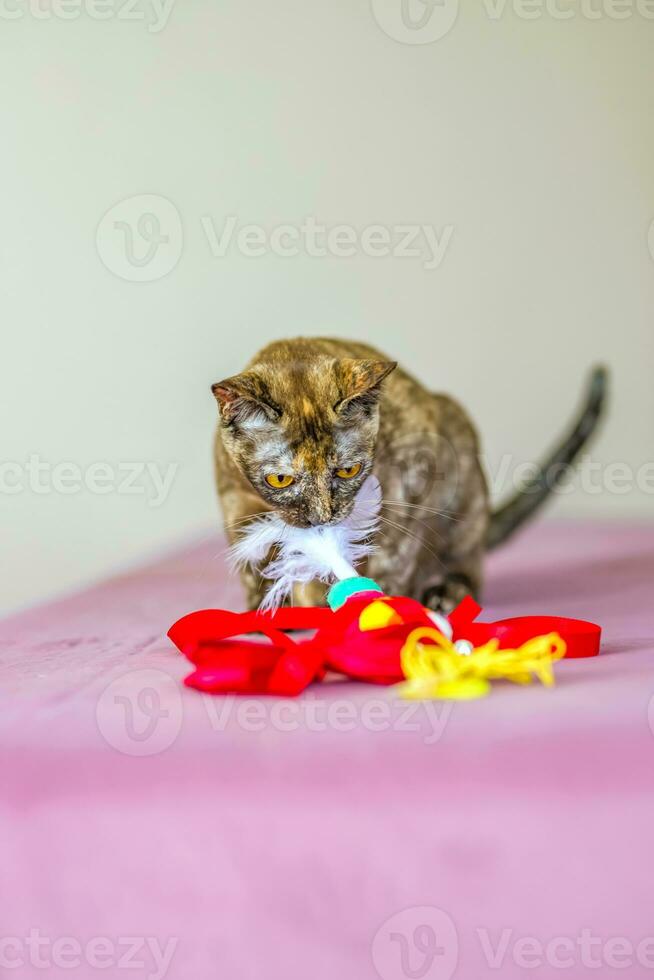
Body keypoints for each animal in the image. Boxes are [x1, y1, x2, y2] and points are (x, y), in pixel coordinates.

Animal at [213, 340, 608, 608]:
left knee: (469, 565)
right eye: (280, 479)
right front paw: (273, 610)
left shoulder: (407, 490)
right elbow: (256, 566)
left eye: (348, 470)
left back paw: (444, 593)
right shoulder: (237, 505)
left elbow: (392, 558)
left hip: (461, 483)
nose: (323, 517)